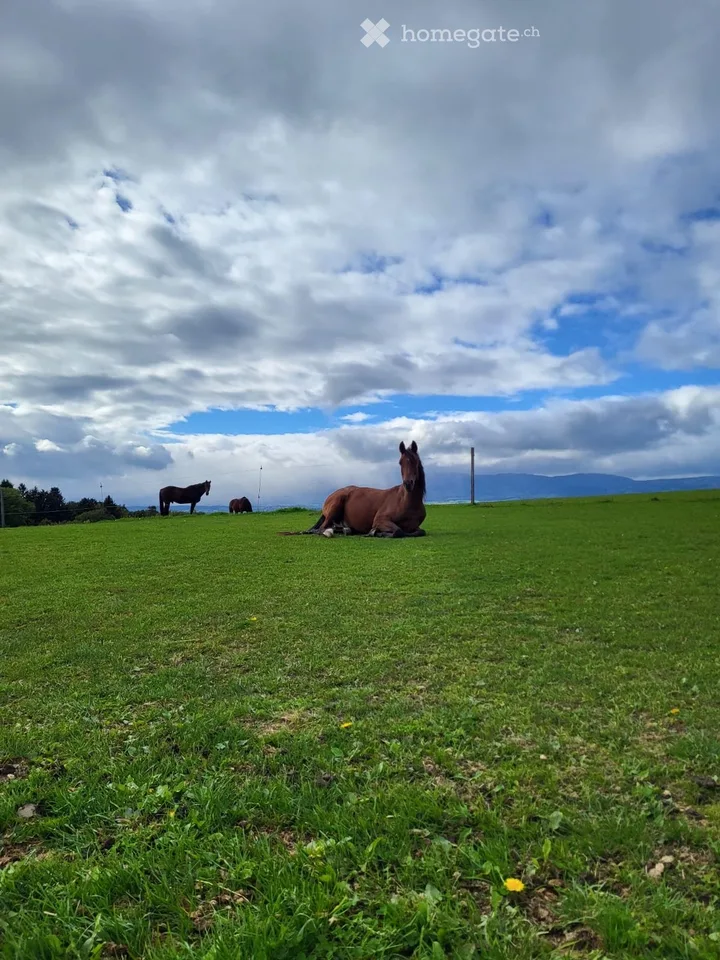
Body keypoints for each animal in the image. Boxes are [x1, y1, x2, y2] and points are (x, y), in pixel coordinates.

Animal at [279, 440, 427, 538]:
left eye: (415, 461)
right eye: (400, 462)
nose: (408, 484)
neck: (406, 502)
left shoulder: (415, 526)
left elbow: (419, 531)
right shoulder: (380, 520)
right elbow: (398, 531)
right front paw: (376, 533)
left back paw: (346, 530)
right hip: (336, 505)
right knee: (322, 529)